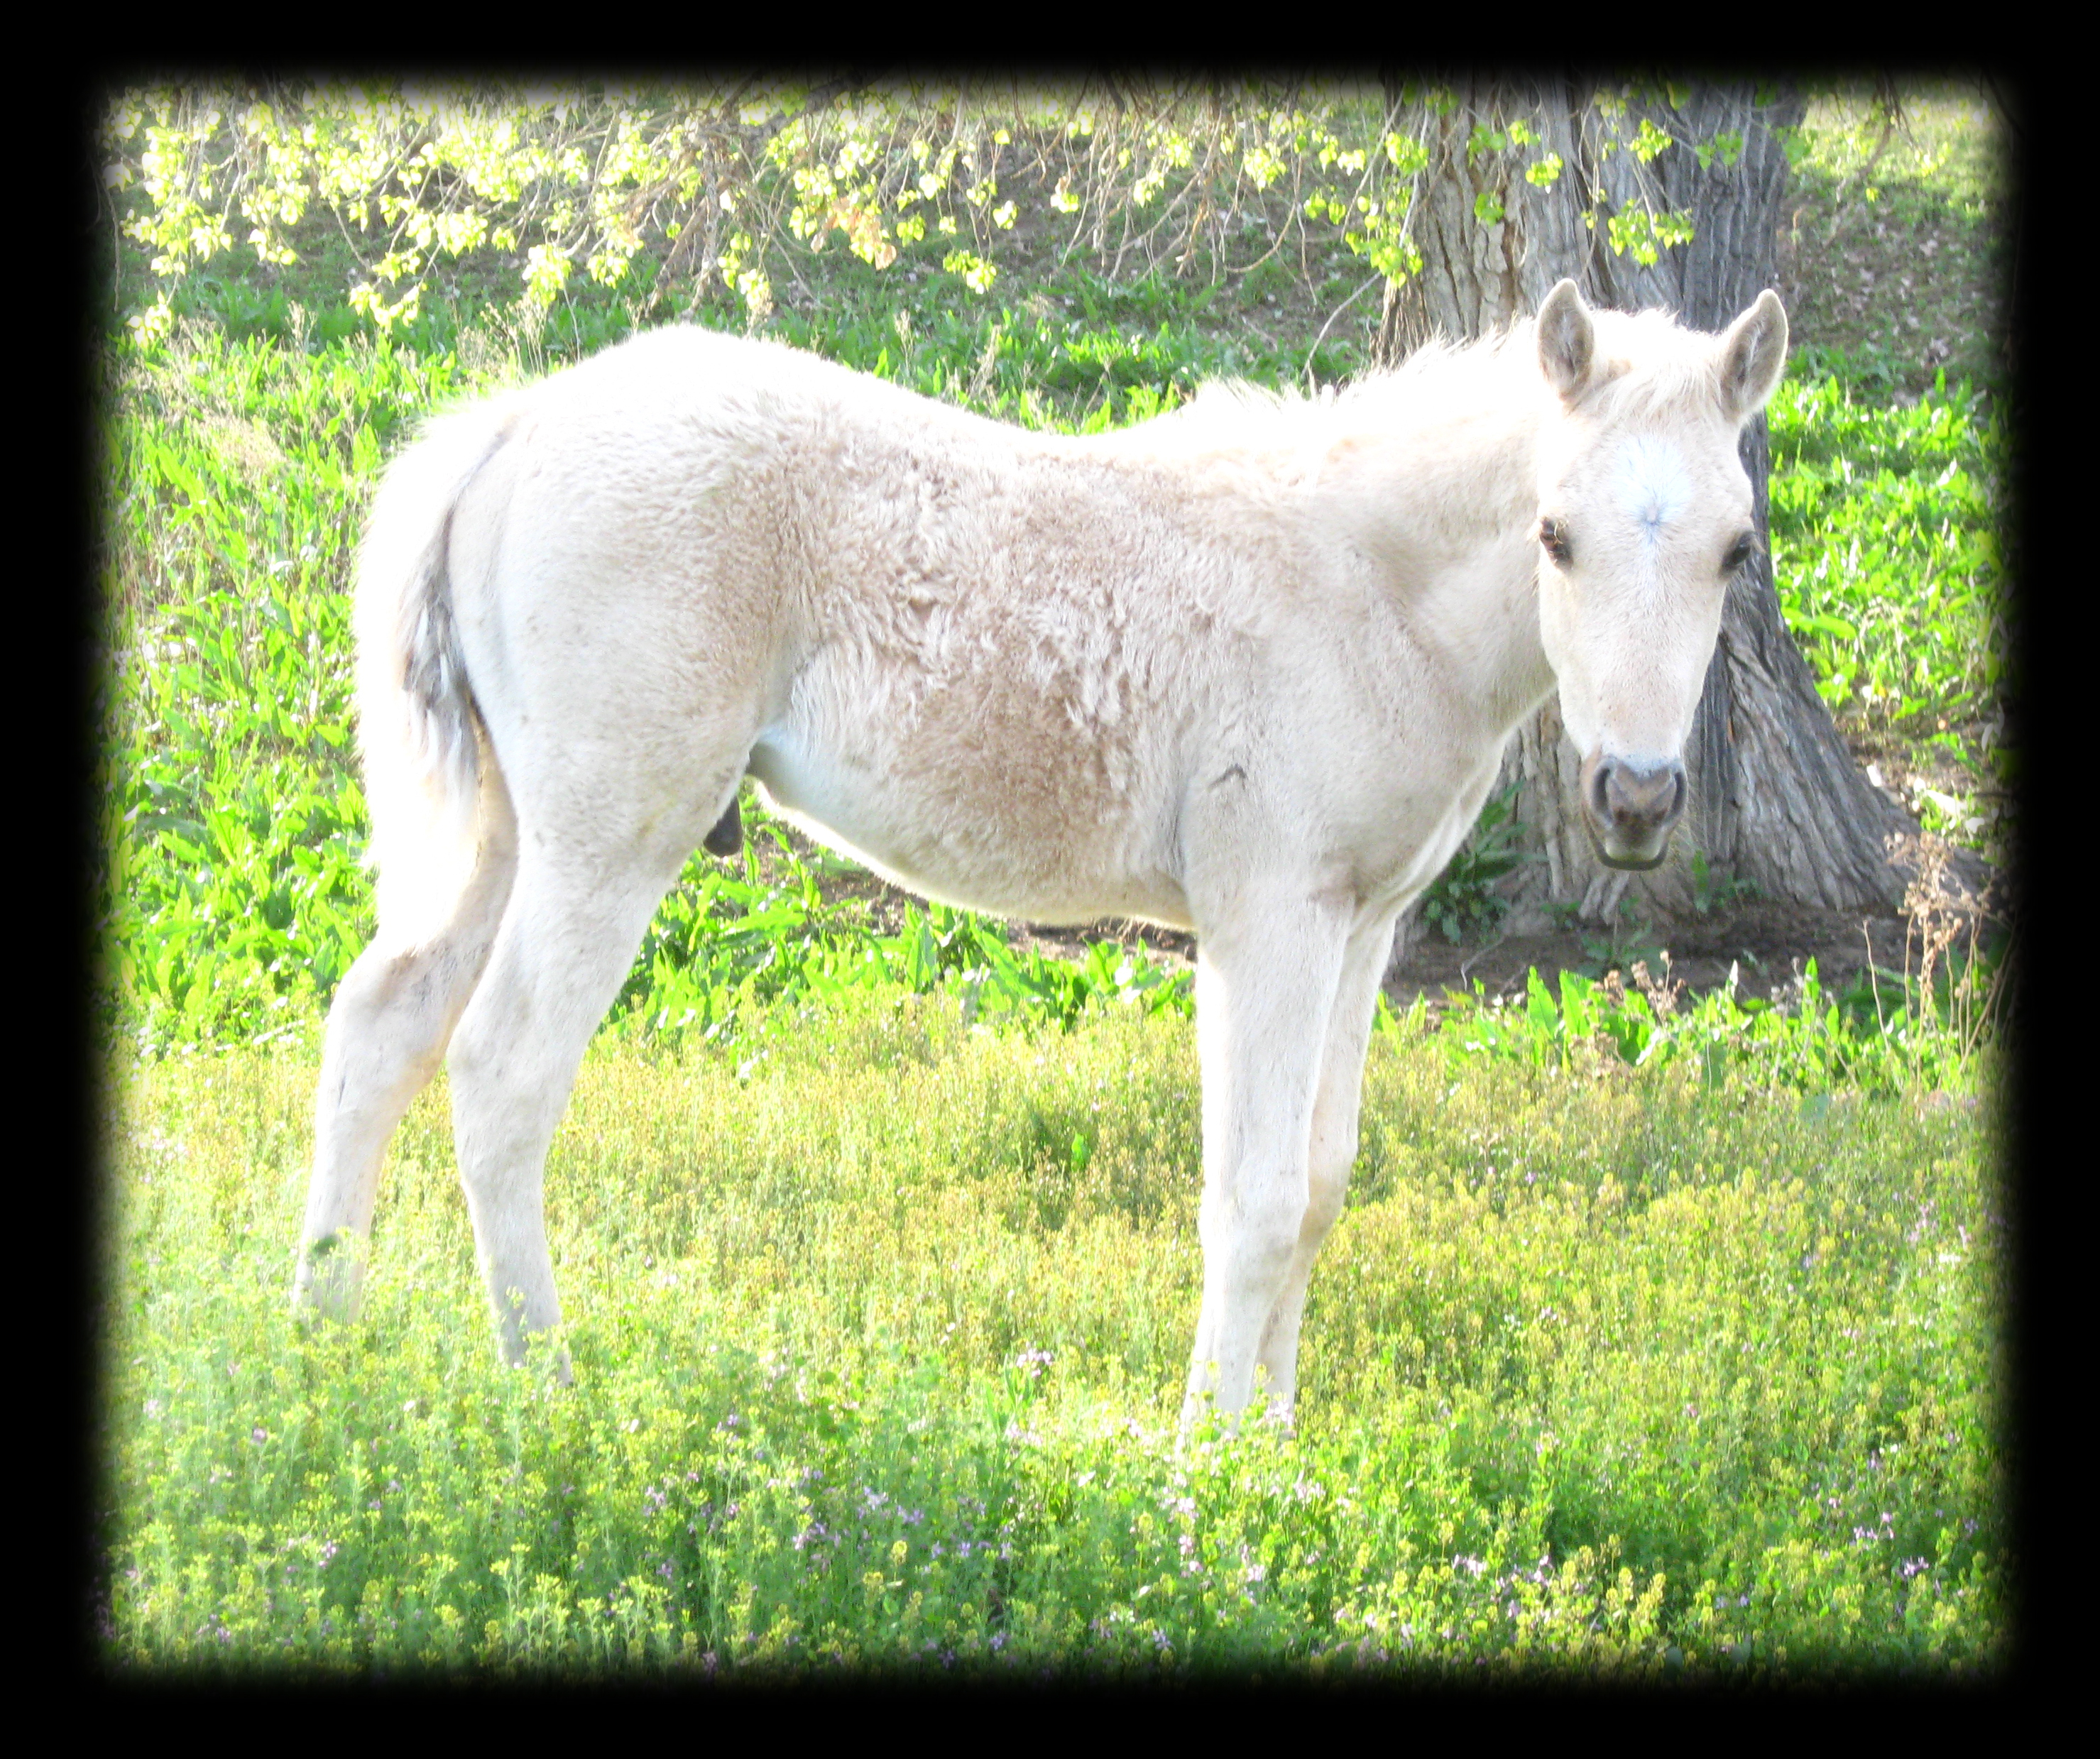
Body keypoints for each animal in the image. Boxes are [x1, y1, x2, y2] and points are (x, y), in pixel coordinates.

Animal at [293, 278, 1787, 1429]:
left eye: (1733, 548)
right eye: (1553, 533)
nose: (1634, 795)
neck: (1365, 587)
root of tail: (518, 417)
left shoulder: (1362, 925)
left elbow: (1316, 1186)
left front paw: (1278, 1447)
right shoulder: (1264, 919)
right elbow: (1248, 1198)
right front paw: (1206, 1467)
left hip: (507, 825)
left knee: (383, 1022)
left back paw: (325, 1334)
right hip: (611, 835)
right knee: (502, 1072)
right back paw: (549, 1389)